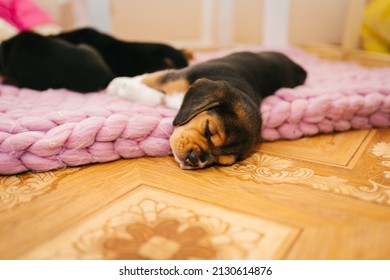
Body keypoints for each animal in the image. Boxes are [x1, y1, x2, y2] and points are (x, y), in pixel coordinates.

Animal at [107, 50, 308, 168]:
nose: (195, 159)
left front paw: (124, 87)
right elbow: (149, 79)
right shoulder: (177, 75)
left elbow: (159, 96)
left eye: (219, 162)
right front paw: (118, 84)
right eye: (208, 129)